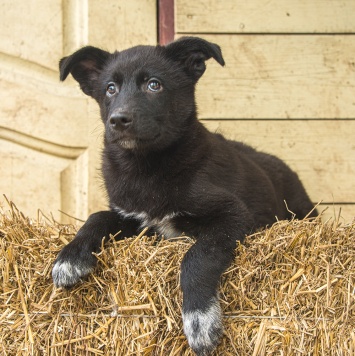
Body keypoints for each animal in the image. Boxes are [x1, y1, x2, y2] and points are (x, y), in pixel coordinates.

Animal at [52, 37, 318, 354]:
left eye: (154, 85)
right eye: (110, 88)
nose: (118, 120)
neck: (147, 167)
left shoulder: (233, 214)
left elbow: (197, 257)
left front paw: (200, 320)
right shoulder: (133, 218)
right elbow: (97, 217)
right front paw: (70, 257)